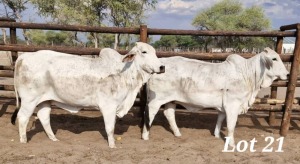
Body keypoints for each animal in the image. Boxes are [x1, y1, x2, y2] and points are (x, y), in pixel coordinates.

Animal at [12, 41, 165, 148]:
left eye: (154, 52)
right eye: (144, 52)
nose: (162, 67)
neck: (125, 73)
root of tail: (24, 56)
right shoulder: (108, 106)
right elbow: (110, 128)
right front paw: (112, 145)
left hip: (45, 100)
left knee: (43, 117)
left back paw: (54, 138)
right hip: (29, 100)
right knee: (23, 117)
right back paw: (23, 141)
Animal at [142, 47, 288, 147]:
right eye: (274, 59)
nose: (287, 74)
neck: (248, 75)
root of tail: (158, 66)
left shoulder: (223, 107)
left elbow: (220, 120)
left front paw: (217, 135)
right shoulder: (232, 105)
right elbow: (231, 126)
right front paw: (232, 144)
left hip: (172, 99)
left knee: (169, 114)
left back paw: (177, 133)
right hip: (156, 100)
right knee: (149, 112)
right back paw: (145, 135)